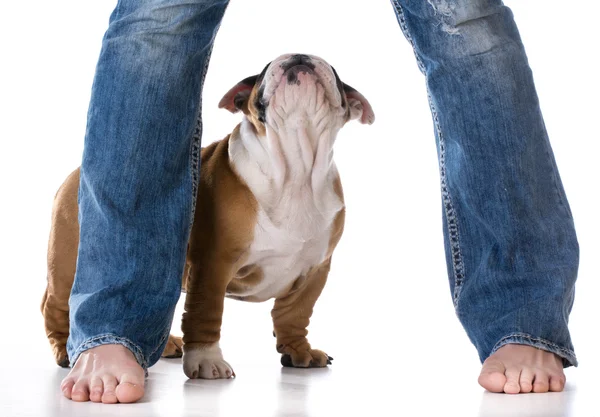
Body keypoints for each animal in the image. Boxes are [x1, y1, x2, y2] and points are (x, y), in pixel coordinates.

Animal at [39, 52, 372, 376]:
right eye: (264, 69)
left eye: (335, 72)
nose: (301, 56)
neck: (295, 164)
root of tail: (76, 173)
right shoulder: (214, 262)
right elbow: (205, 311)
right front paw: (206, 360)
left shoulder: (315, 270)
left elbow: (295, 314)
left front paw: (299, 351)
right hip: (68, 262)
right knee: (54, 305)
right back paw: (65, 348)